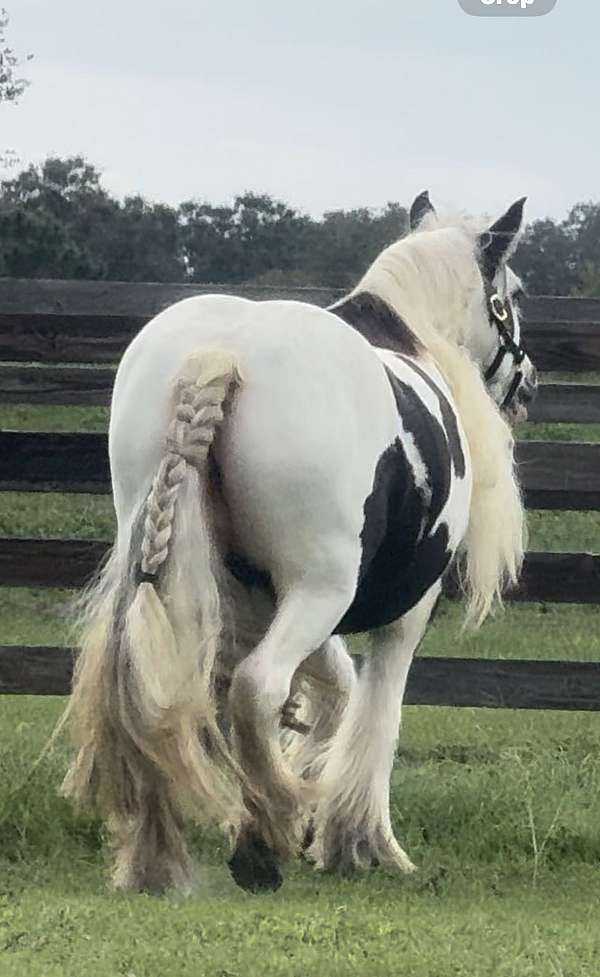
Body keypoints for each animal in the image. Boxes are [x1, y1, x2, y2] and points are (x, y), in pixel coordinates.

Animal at [62, 191, 537, 895]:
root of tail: (221, 355)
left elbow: (332, 687)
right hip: (321, 588)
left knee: (161, 689)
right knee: (256, 686)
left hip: (181, 569)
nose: (528, 381)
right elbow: (376, 708)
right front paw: (358, 841)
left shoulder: (266, 598)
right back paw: (266, 836)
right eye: (512, 293)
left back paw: (166, 853)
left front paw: (314, 799)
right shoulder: (405, 610)